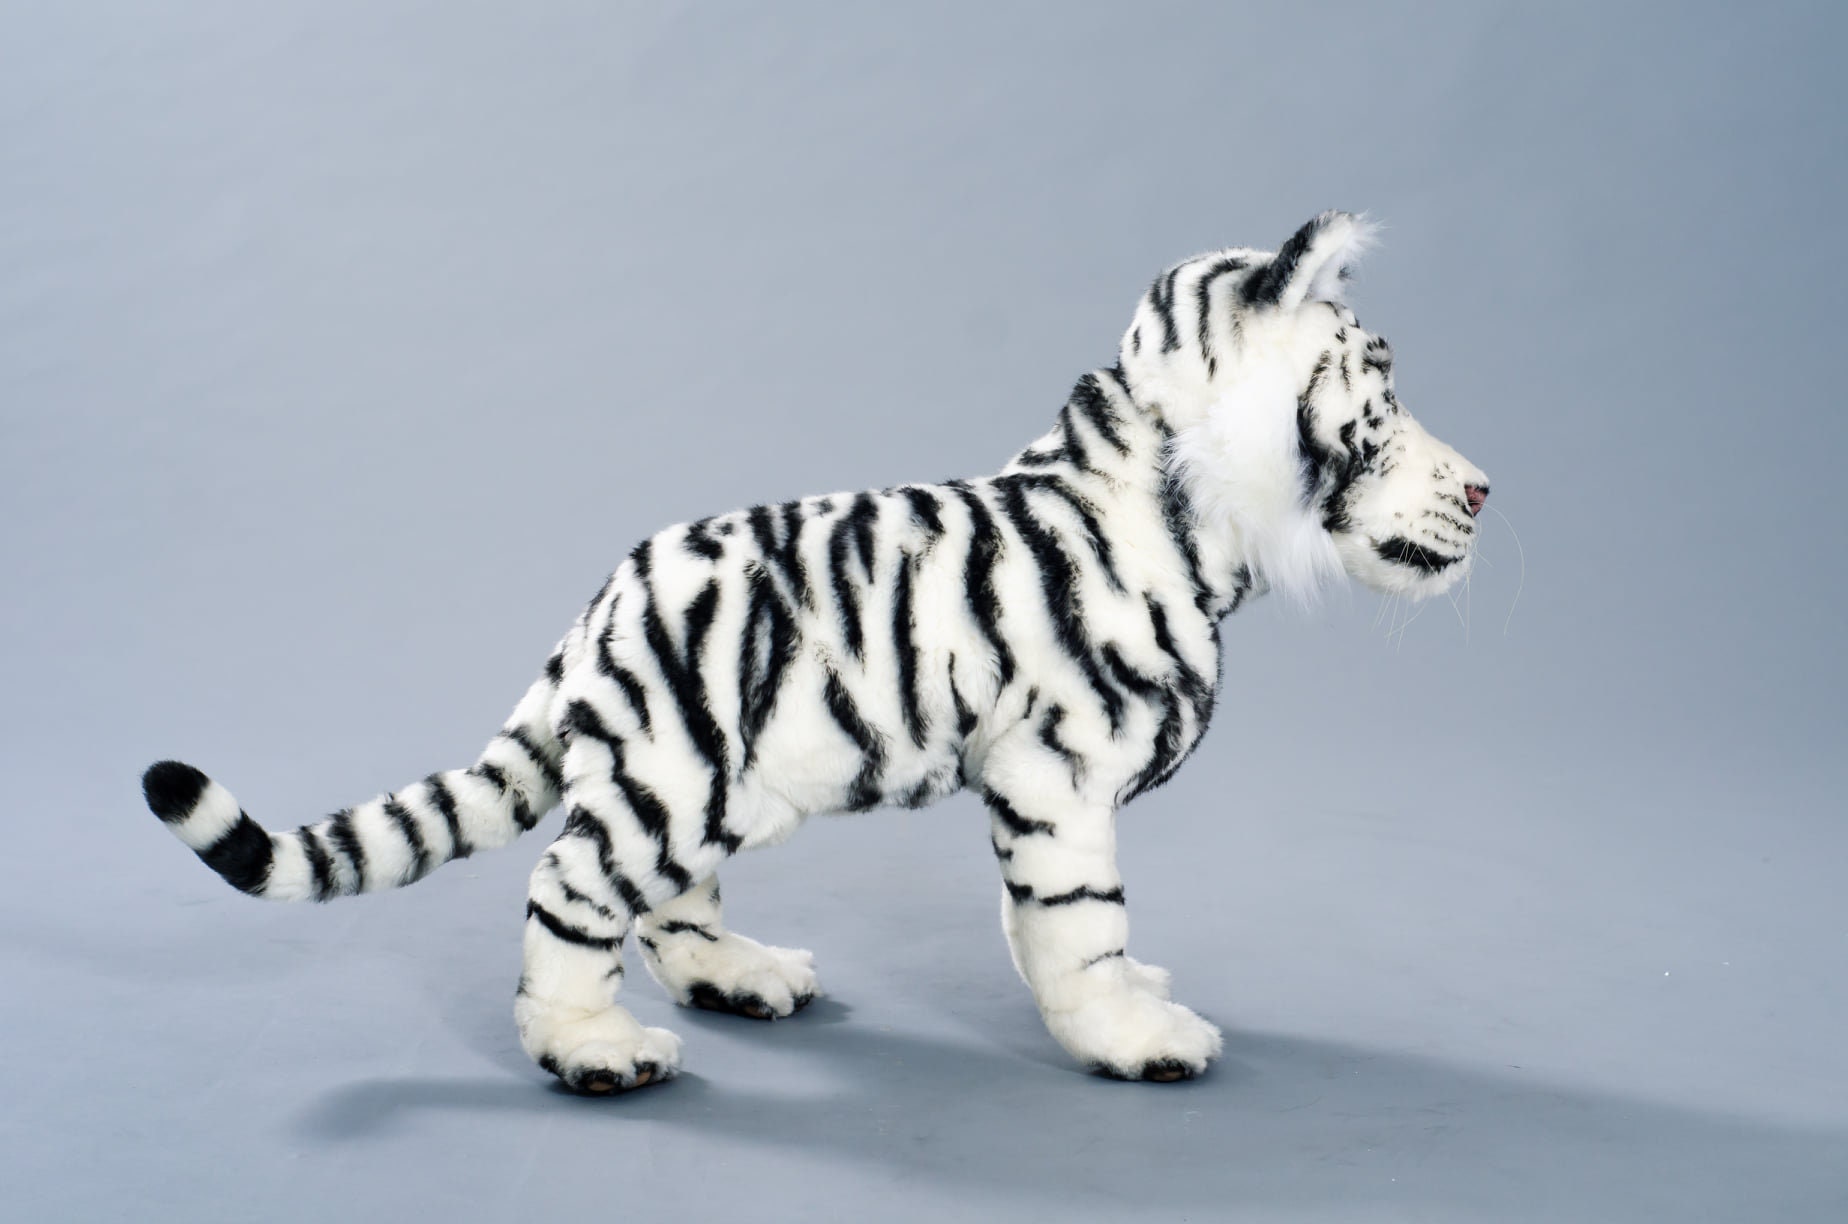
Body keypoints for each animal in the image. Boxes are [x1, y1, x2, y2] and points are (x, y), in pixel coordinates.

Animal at [142, 211, 1490, 1093]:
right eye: (1380, 399)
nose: (1483, 488)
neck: (1190, 517)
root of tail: (594, 615)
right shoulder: (1056, 772)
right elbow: (1079, 914)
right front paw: (1129, 1036)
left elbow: (1041, 919)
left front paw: (1116, 1001)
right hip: (672, 780)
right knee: (570, 889)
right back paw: (593, 1051)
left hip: (725, 786)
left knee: (667, 906)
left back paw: (738, 980)